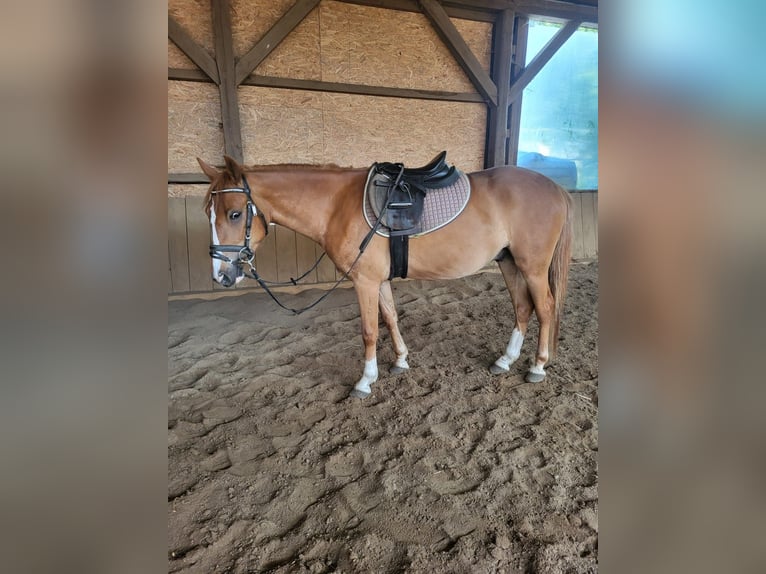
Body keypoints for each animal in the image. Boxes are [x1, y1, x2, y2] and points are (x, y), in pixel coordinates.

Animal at [197, 155, 573, 399]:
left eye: (234, 214)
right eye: (208, 213)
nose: (221, 276)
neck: (337, 205)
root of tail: (556, 188)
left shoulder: (363, 282)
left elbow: (368, 331)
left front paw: (365, 380)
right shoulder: (378, 281)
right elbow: (390, 318)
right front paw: (401, 362)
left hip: (532, 267)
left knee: (545, 308)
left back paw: (537, 367)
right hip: (509, 263)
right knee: (522, 308)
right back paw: (505, 360)